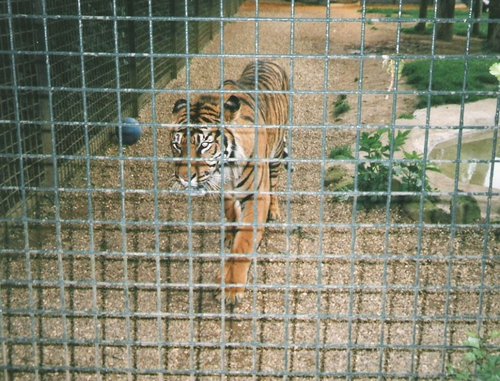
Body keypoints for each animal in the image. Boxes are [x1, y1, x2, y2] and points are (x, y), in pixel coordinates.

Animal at [171, 60, 290, 304]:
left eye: (204, 145)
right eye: (177, 145)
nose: (184, 178)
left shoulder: (255, 197)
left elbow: (244, 243)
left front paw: (231, 288)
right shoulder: (225, 192)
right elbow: (231, 214)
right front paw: (229, 235)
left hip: (275, 156)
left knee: (274, 185)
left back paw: (274, 211)